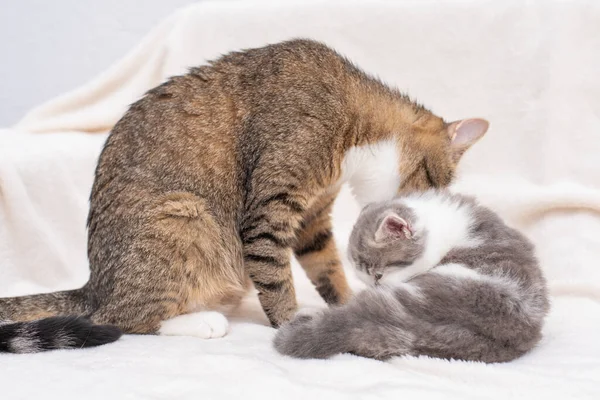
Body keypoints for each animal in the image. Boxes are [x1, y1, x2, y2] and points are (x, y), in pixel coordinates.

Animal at [0, 39, 488, 354]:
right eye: (431, 185)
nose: (419, 217)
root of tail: (94, 284)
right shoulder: (269, 209)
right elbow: (275, 278)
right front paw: (294, 322)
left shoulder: (312, 218)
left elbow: (327, 267)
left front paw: (348, 306)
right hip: (182, 216)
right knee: (118, 319)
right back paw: (200, 321)